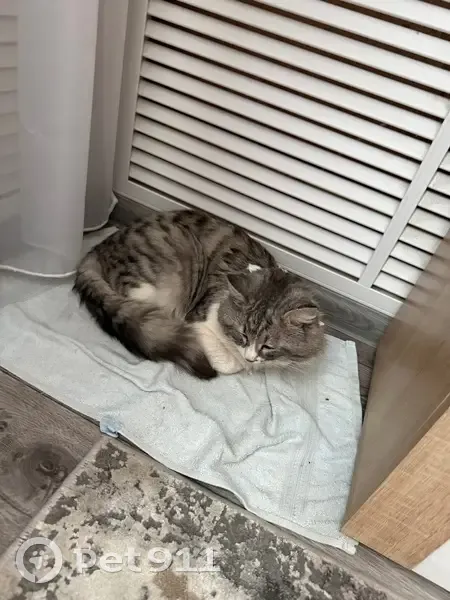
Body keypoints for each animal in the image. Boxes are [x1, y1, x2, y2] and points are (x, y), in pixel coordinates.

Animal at [73, 209, 325, 379]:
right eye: (242, 335)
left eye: (268, 346)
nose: (250, 357)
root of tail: (98, 248)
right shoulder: (198, 321)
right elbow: (229, 362)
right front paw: (239, 362)